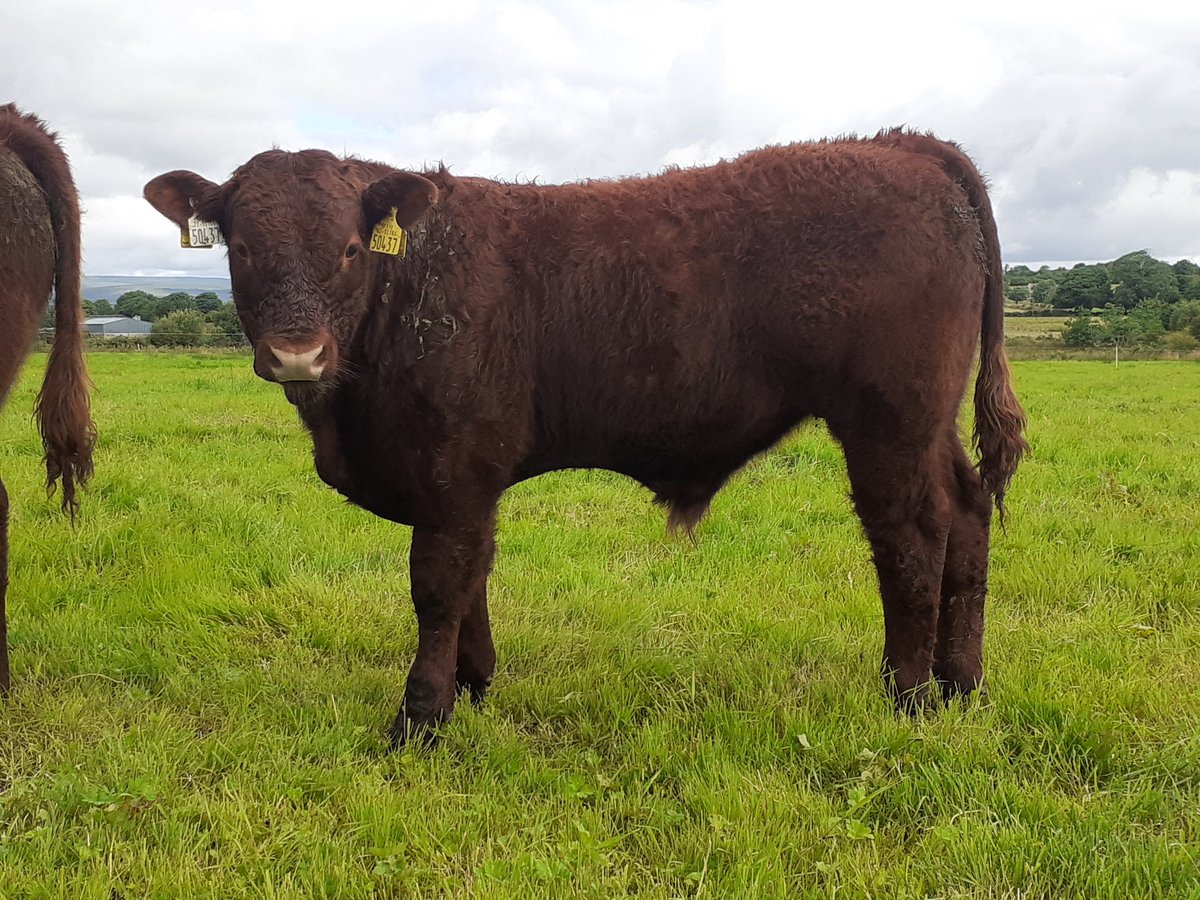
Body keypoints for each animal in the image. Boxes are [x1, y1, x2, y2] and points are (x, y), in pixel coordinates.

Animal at [145, 129, 1027, 746]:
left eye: (350, 249)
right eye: (242, 247)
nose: (297, 353)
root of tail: (902, 143)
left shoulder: (453, 468)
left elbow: (438, 586)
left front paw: (420, 719)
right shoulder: (465, 482)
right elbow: (474, 576)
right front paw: (475, 685)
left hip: (888, 423)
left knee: (911, 538)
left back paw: (906, 696)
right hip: (928, 427)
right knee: (968, 513)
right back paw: (962, 685)